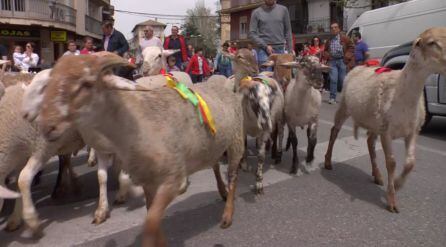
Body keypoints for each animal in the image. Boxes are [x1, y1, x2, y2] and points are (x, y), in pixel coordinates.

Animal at [30, 53, 247, 246]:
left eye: (86, 84)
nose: (46, 126)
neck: (137, 122)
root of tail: (225, 87)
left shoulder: (172, 179)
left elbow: (150, 223)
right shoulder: (148, 181)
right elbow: (151, 217)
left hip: (236, 141)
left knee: (233, 176)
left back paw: (227, 214)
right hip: (215, 143)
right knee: (215, 165)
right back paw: (222, 191)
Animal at [228, 48, 284, 194]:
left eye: (269, 98)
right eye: (252, 98)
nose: (255, 69)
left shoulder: (265, 131)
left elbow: (261, 156)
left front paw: (259, 182)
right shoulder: (242, 128)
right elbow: (244, 147)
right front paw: (244, 165)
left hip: (280, 118)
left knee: (280, 134)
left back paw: (278, 153)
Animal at [324, 27, 446, 212]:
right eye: (432, 42)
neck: (402, 93)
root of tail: (360, 66)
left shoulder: (412, 131)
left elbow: (410, 163)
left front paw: (397, 183)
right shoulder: (386, 132)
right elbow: (392, 162)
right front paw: (392, 200)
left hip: (374, 122)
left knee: (369, 142)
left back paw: (377, 175)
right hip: (345, 106)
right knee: (334, 132)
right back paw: (328, 161)